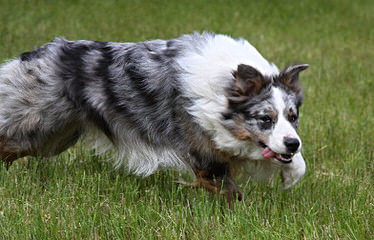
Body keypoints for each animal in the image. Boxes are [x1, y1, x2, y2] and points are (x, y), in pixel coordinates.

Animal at [0, 32, 308, 202]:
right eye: (265, 119)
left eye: (292, 116)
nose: (293, 144)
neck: (225, 87)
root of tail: (33, 56)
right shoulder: (202, 152)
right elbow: (230, 190)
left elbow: (297, 165)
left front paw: (290, 176)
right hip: (35, 126)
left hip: (57, 136)